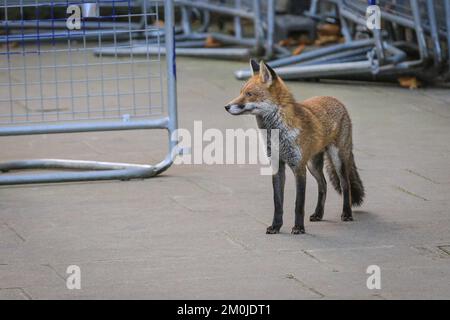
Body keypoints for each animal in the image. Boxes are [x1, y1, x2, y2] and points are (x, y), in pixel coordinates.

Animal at [225, 60, 366, 235]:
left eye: (249, 94)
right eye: (241, 92)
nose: (226, 106)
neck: (277, 134)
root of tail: (336, 100)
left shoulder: (298, 167)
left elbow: (299, 204)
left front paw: (298, 227)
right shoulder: (278, 166)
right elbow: (278, 203)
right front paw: (276, 226)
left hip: (337, 159)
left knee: (345, 185)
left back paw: (346, 213)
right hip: (313, 165)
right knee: (323, 185)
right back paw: (318, 214)